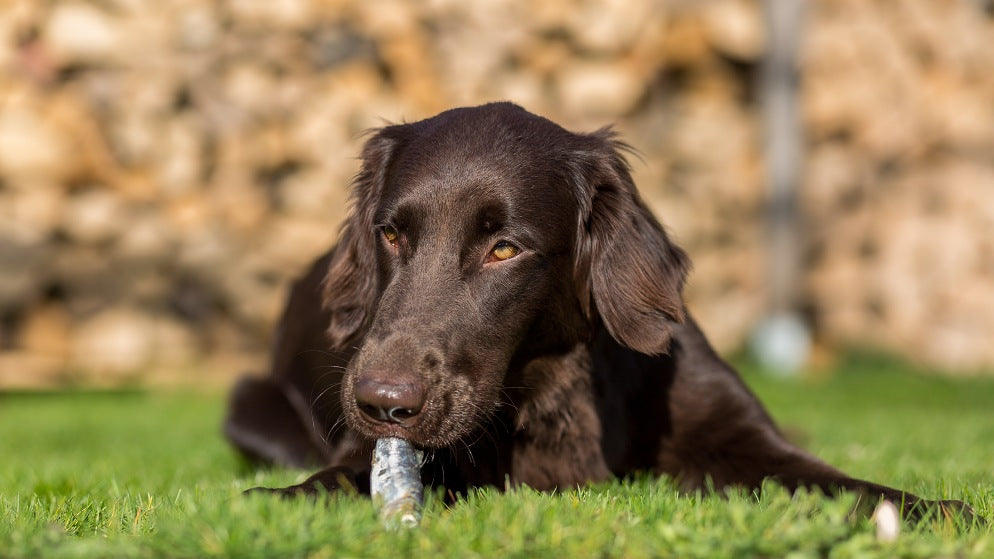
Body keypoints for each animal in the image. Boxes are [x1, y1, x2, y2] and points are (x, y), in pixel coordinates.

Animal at [223, 103, 968, 524]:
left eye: (503, 247)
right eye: (391, 235)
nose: (383, 404)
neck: (553, 386)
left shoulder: (738, 436)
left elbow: (840, 482)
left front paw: (937, 508)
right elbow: (337, 480)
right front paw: (282, 503)